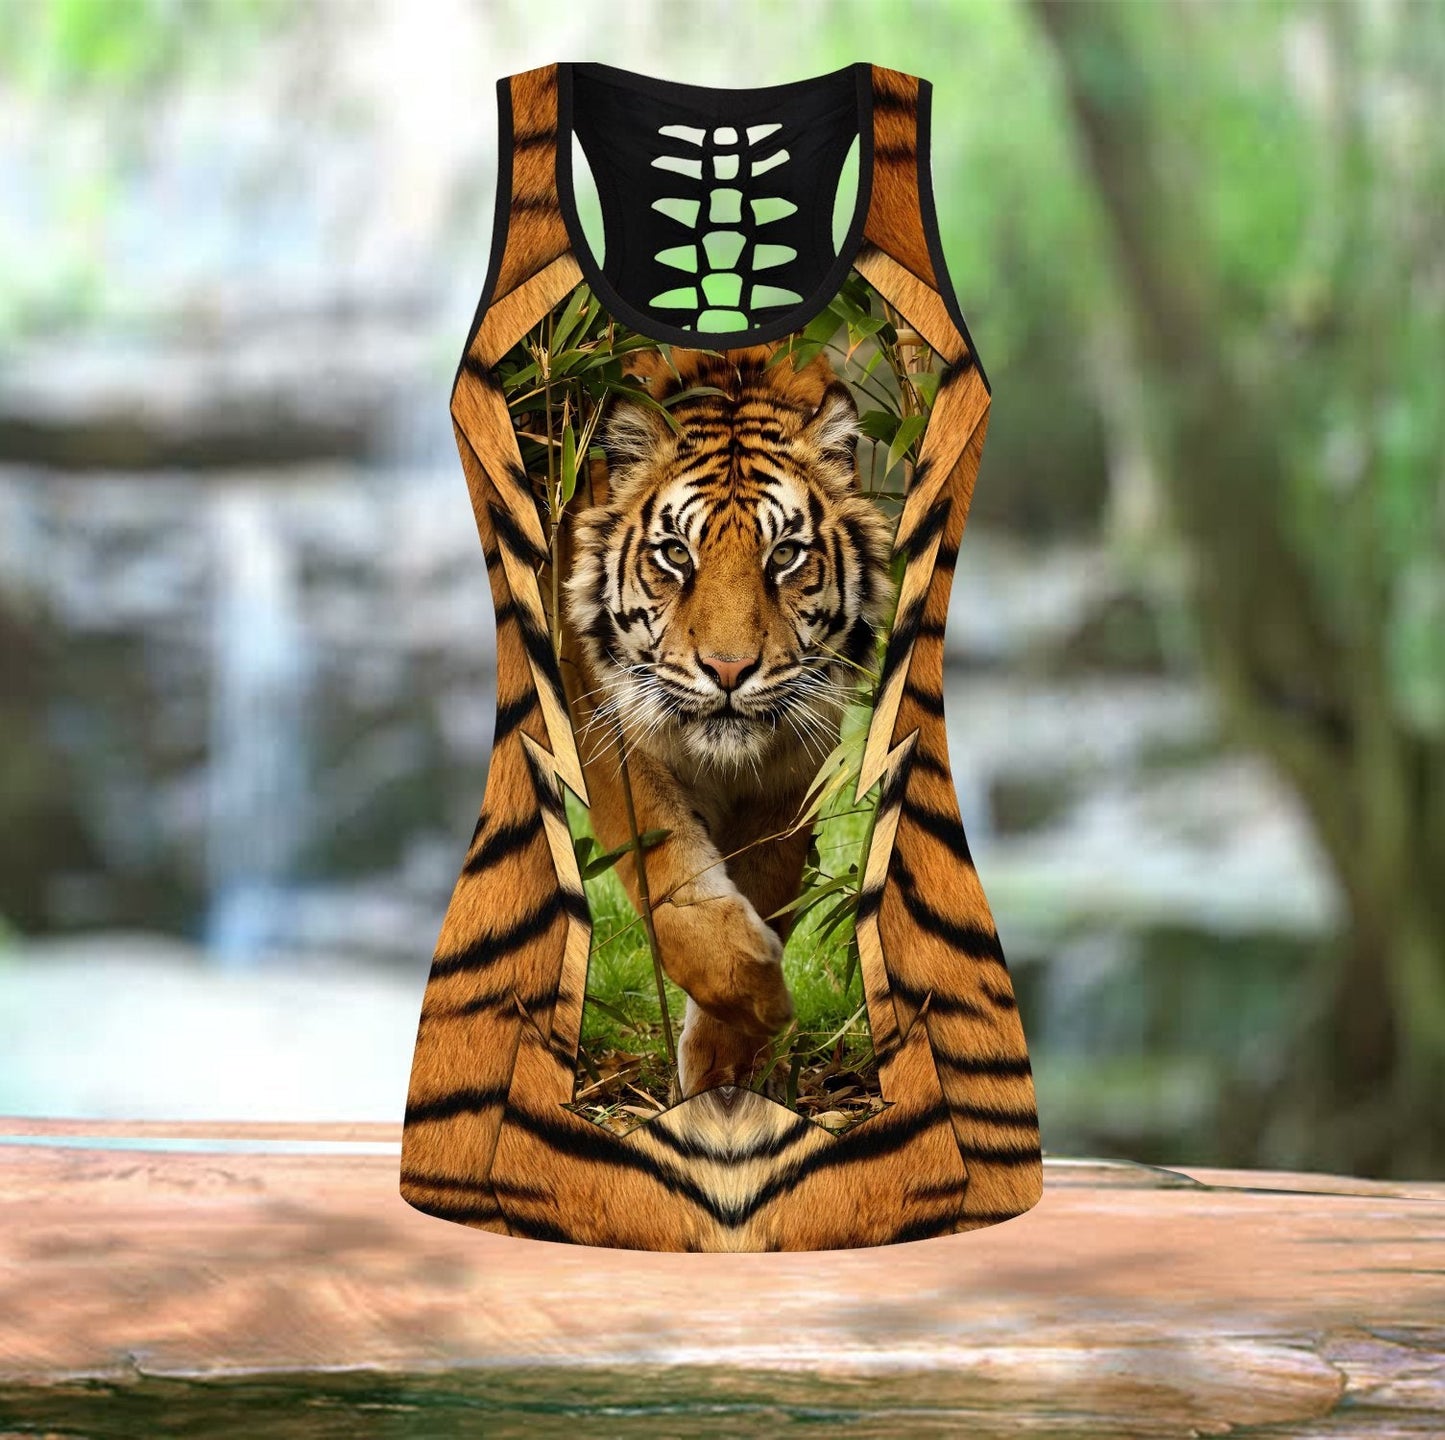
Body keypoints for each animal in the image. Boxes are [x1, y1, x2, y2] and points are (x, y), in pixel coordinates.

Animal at [557, 343, 895, 1101]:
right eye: (676, 554)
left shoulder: (796, 763)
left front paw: (726, 1072)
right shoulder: (611, 733)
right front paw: (756, 995)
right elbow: (670, 878)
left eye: (785, 555)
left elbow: (764, 883)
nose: (729, 670)